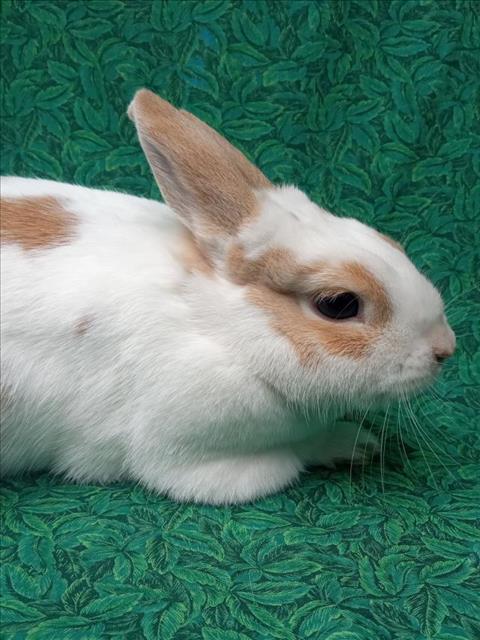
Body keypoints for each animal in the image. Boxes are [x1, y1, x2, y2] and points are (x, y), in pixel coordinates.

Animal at [0, 89, 455, 504]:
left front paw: (361, 443)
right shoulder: (186, 452)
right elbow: (291, 456)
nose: (445, 348)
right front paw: (349, 446)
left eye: (389, 241)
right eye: (338, 304)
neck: (219, 324)